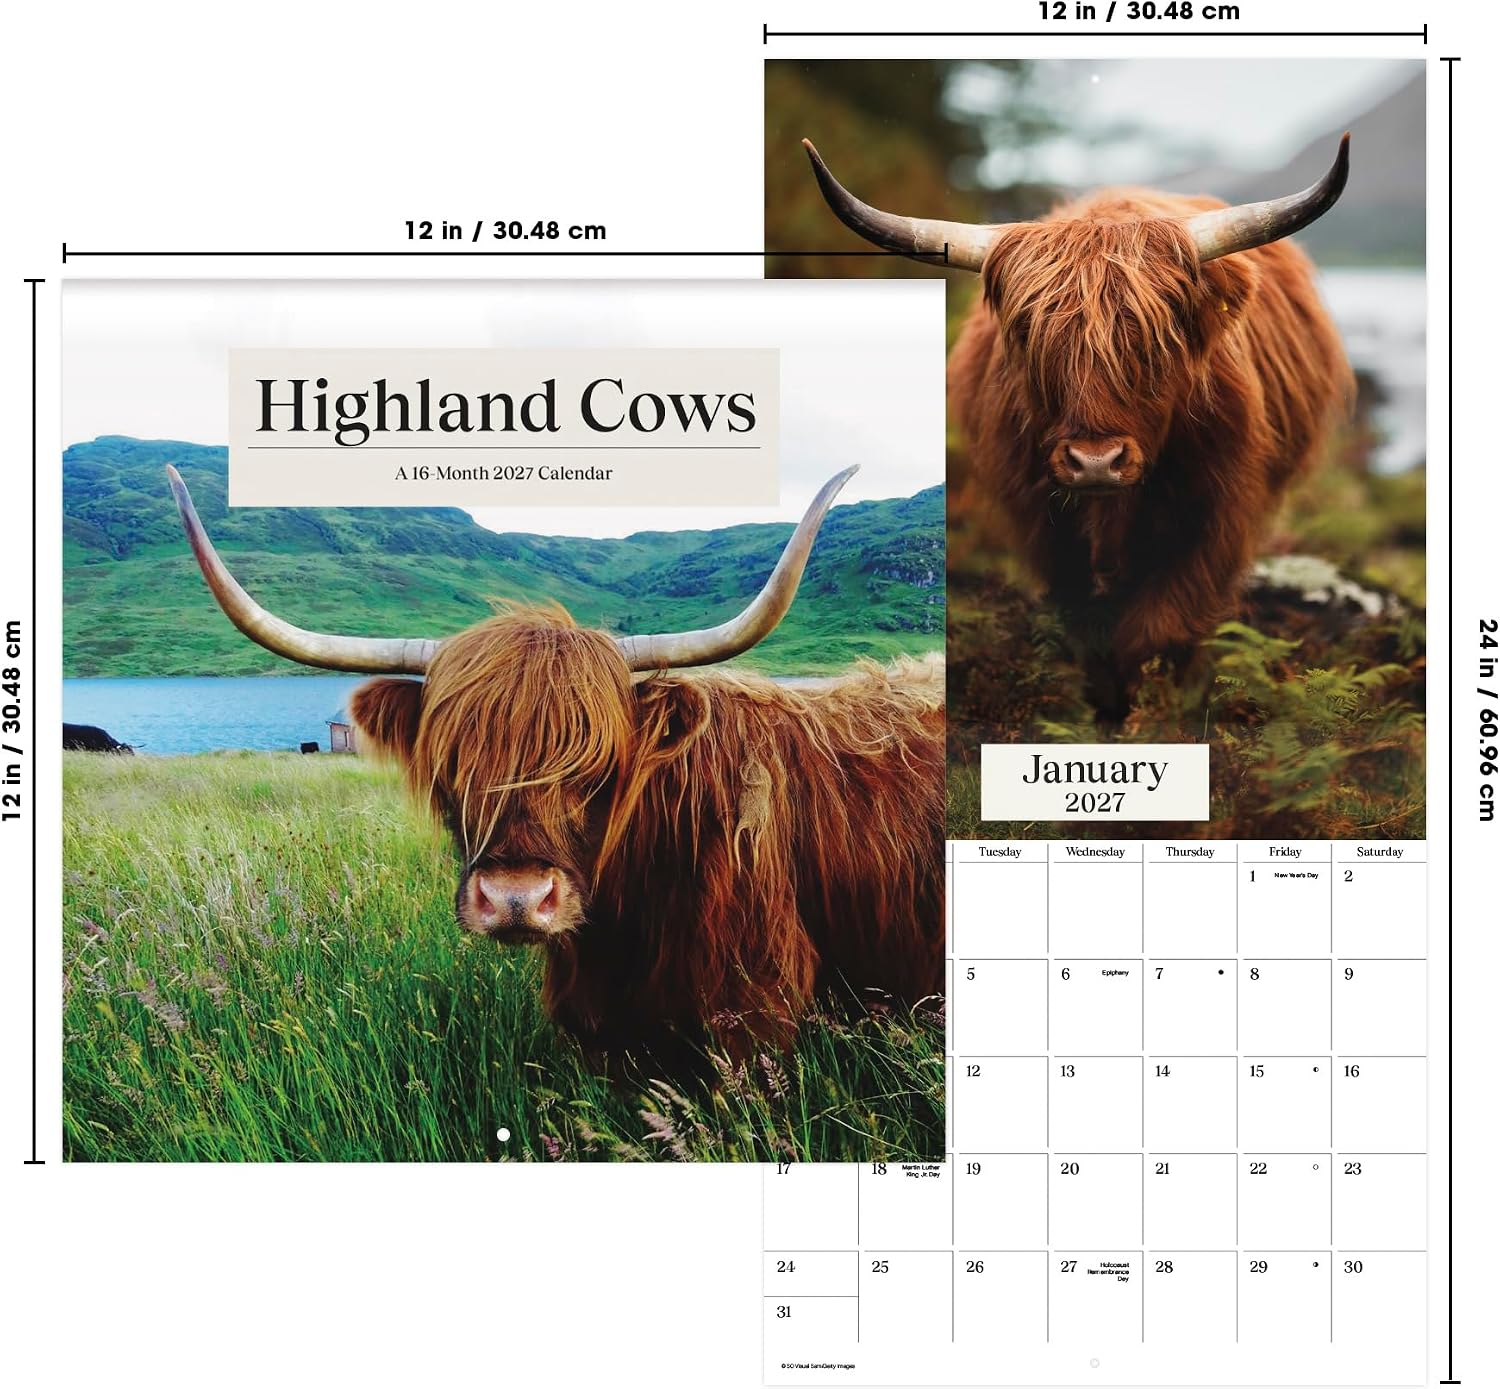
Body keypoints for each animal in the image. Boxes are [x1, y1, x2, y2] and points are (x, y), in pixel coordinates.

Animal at [803, 136, 1354, 717]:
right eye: (1032, 333)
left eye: (1157, 336)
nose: (1095, 463)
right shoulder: (1043, 519)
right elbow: (1086, 620)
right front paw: (1103, 703)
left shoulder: (1214, 514)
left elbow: (1161, 624)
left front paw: (1152, 709)